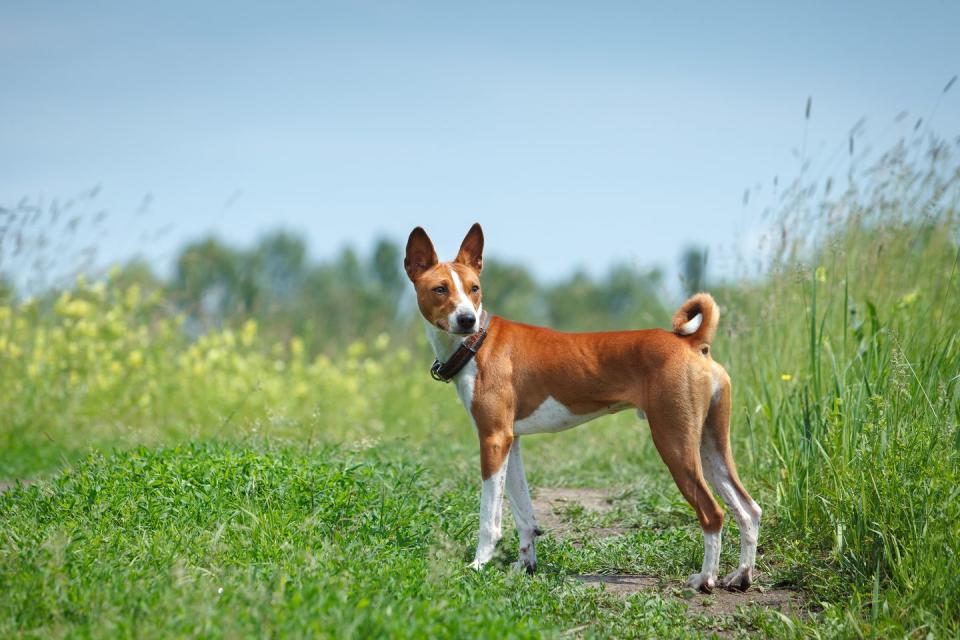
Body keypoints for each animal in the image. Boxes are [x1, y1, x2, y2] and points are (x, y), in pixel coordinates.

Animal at [404, 224, 764, 592]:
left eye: (474, 289)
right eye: (439, 289)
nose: (466, 319)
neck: (477, 343)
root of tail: (692, 343)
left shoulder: (492, 438)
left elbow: (490, 518)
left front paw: (479, 564)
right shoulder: (510, 441)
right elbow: (523, 513)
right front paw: (524, 566)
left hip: (674, 442)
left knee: (713, 512)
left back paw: (705, 578)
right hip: (710, 443)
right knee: (748, 509)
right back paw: (741, 575)